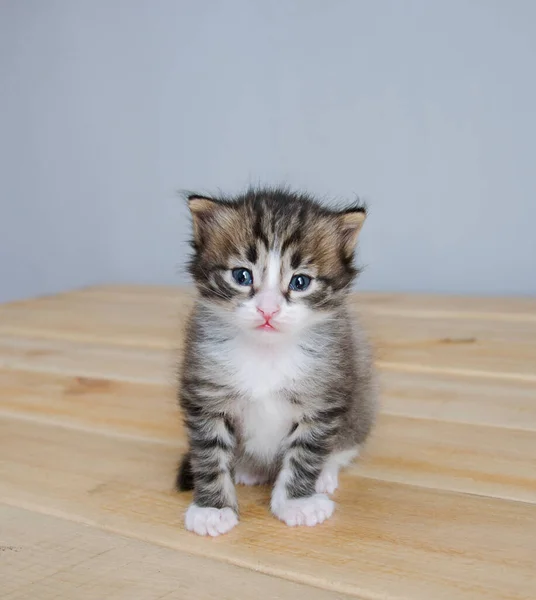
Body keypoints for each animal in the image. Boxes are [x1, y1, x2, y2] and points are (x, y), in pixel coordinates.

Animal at [176, 186, 376, 536]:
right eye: (242, 276)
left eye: (300, 282)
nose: (267, 309)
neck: (266, 353)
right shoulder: (205, 393)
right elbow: (209, 455)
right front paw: (212, 509)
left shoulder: (322, 399)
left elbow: (305, 455)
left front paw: (297, 502)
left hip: (359, 411)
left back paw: (324, 476)